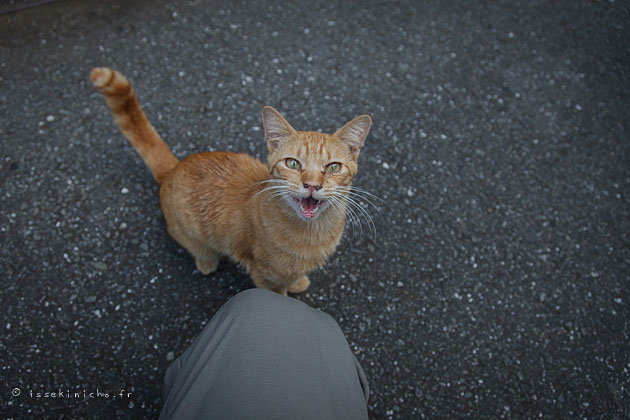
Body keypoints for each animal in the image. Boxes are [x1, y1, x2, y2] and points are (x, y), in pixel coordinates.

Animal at [89, 66, 370, 296]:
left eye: (333, 167)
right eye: (293, 164)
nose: (312, 185)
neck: (313, 233)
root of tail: (174, 168)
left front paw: (298, 282)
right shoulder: (264, 275)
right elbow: (278, 293)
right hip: (188, 232)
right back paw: (206, 262)